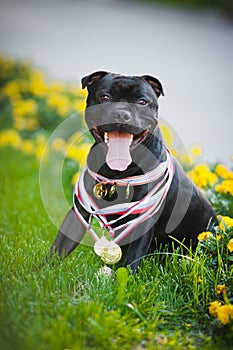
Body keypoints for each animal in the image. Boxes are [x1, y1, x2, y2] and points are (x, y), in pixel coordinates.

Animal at [50, 71, 218, 272]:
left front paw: (128, 277)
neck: (116, 173)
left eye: (142, 102)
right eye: (105, 97)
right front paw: (42, 272)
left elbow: (133, 258)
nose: (122, 114)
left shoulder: (143, 221)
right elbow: (59, 247)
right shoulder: (79, 213)